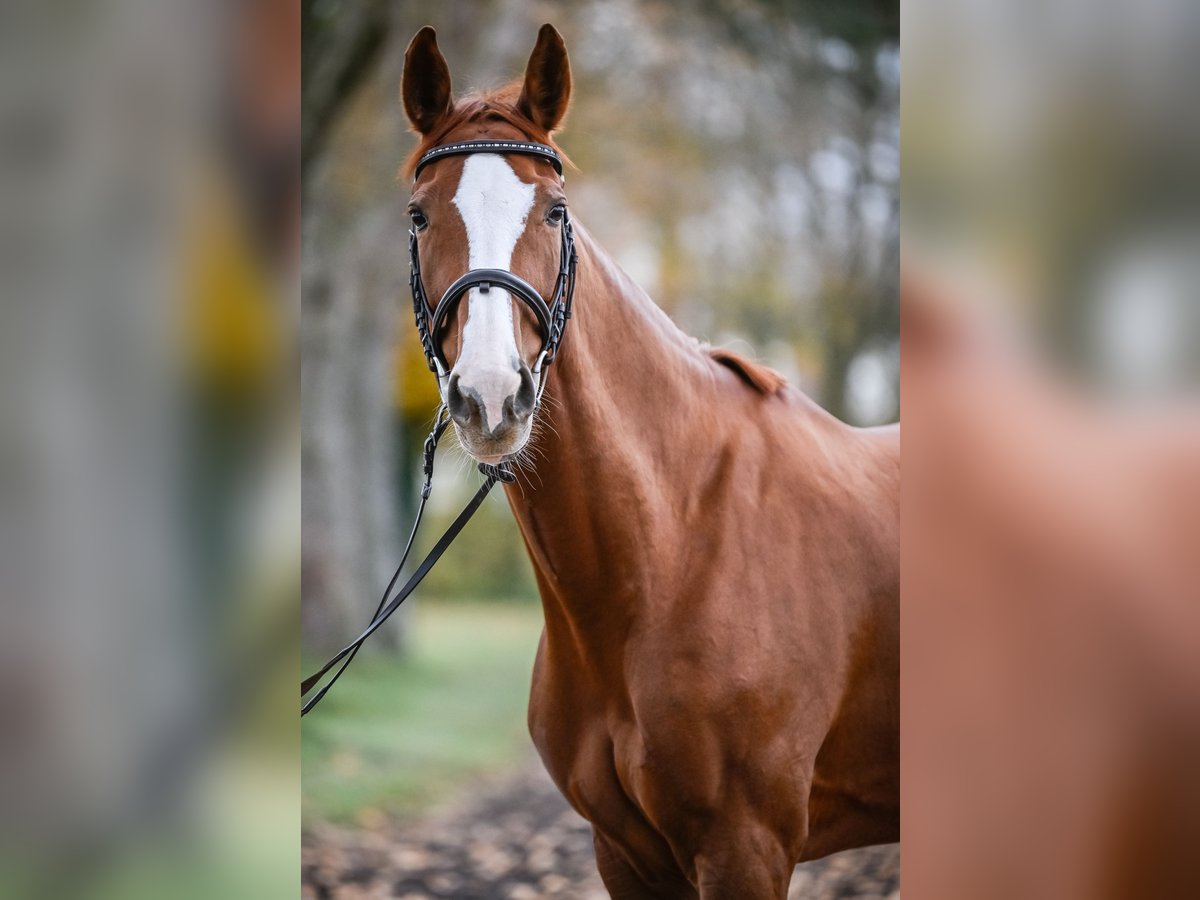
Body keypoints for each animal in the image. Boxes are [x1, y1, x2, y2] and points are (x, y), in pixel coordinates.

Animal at [403, 24, 902, 897]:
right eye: (420, 216)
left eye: (556, 210)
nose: (492, 396)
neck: (674, 549)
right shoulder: (626, 853)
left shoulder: (747, 848)